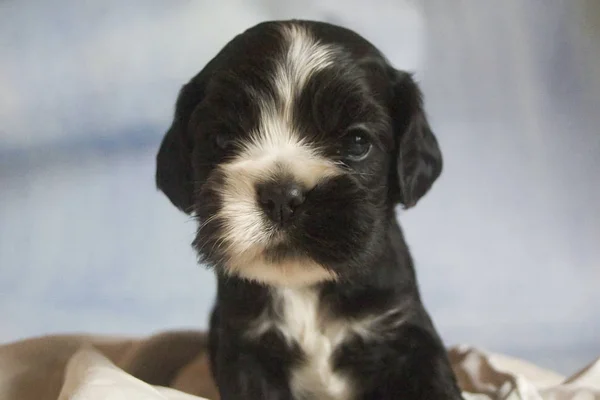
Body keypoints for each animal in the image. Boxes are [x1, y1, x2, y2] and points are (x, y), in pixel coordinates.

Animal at [156, 20, 464, 400]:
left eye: (357, 143)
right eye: (222, 139)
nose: (281, 197)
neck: (305, 286)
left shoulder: (404, 333)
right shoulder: (246, 348)